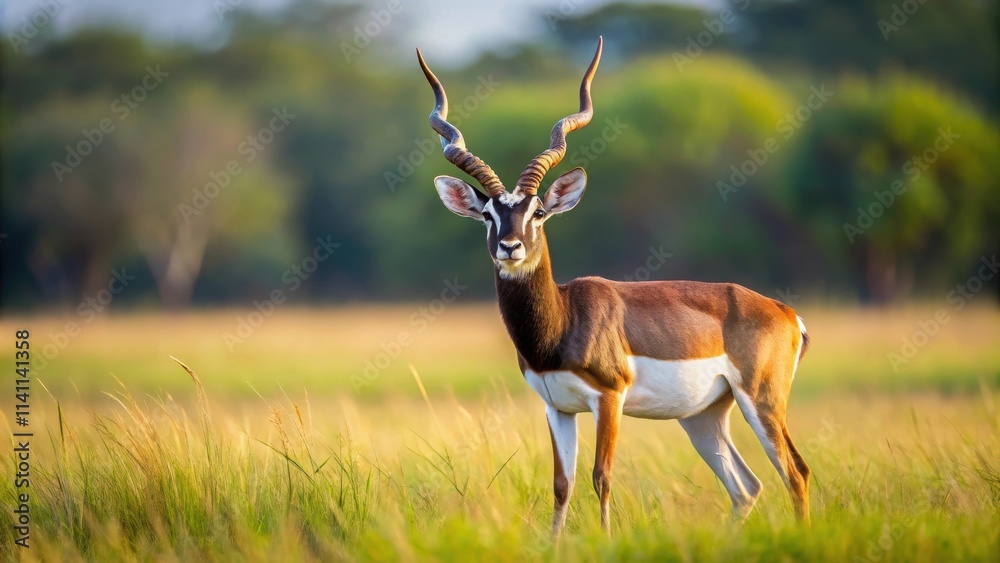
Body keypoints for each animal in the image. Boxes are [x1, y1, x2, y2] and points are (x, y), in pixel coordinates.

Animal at [416, 37, 811, 536]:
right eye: (488, 214)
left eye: (538, 212)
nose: (510, 247)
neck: (562, 320)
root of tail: (785, 312)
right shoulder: (558, 408)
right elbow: (561, 483)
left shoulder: (609, 398)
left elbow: (601, 476)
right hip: (703, 417)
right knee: (747, 486)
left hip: (761, 401)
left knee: (795, 472)